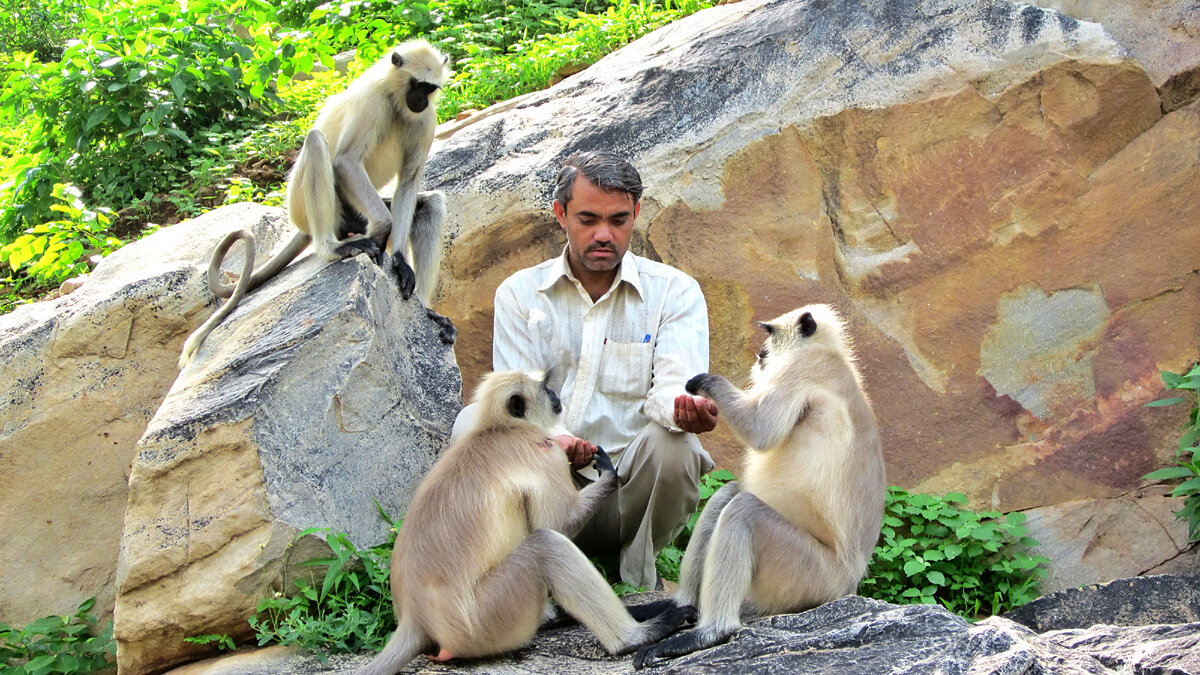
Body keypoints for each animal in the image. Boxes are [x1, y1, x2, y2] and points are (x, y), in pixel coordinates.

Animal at [178, 40, 453, 367]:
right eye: (416, 85)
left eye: (430, 88)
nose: (421, 100)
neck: (396, 98)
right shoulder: (373, 101)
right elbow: (346, 161)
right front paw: (380, 231)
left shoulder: (426, 118)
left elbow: (409, 182)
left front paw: (399, 260)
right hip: (303, 205)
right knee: (315, 142)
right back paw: (331, 248)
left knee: (431, 204)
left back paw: (427, 311)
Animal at [355, 369, 696, 667]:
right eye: (545, 388)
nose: (556, 395)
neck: (501, 428)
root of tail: (415, 620)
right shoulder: (544, 453)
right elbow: (556, 525)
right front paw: (607, 473)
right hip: (485, 620)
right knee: (547, 546)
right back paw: (635, 636)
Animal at [633, 305, 888, 667]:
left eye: (770, 333)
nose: (760, 352)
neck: (828, 354)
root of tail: (850, 582)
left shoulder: (802, 369)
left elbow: (761, 430)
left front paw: (706, 383)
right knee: (729, 495)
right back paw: (680, 608)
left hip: (812, 576)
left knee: (743, 510)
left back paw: (709, 633)